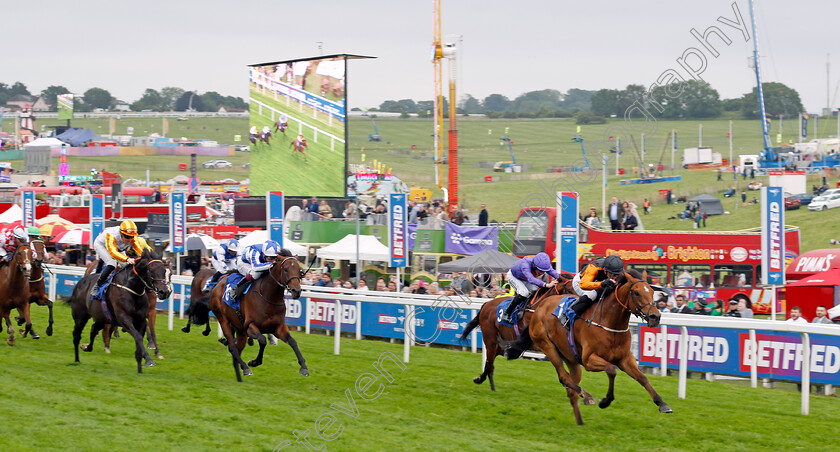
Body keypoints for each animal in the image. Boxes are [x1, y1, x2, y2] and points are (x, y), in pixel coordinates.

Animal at [208, 254, 308, 382]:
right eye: (285, 270)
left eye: (299, 270)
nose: (297, 291)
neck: (269, 297)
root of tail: (218, 283)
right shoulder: (250, 327)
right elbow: (263, 340)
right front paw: (254, 362)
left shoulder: (278, 328)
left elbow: (293, 342)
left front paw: (304, 367)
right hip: (223, 320)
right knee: (233, 348)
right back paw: (246, 368)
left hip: (240, 331)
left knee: (236, 351)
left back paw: (240, 377)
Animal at [502, 270, 672, 426]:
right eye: (636, 293)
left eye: (652, 292)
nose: (655, 317)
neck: (609, 323)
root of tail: (539, 307)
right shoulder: (589, 360)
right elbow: (611, 370)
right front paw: (605, 401)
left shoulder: (625, 359)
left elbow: (642, 378)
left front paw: (662, 403)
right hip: (547, 345)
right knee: (563, 377)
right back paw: (587, 396)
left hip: (570, 357)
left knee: (570, 383)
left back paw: (580, 411)